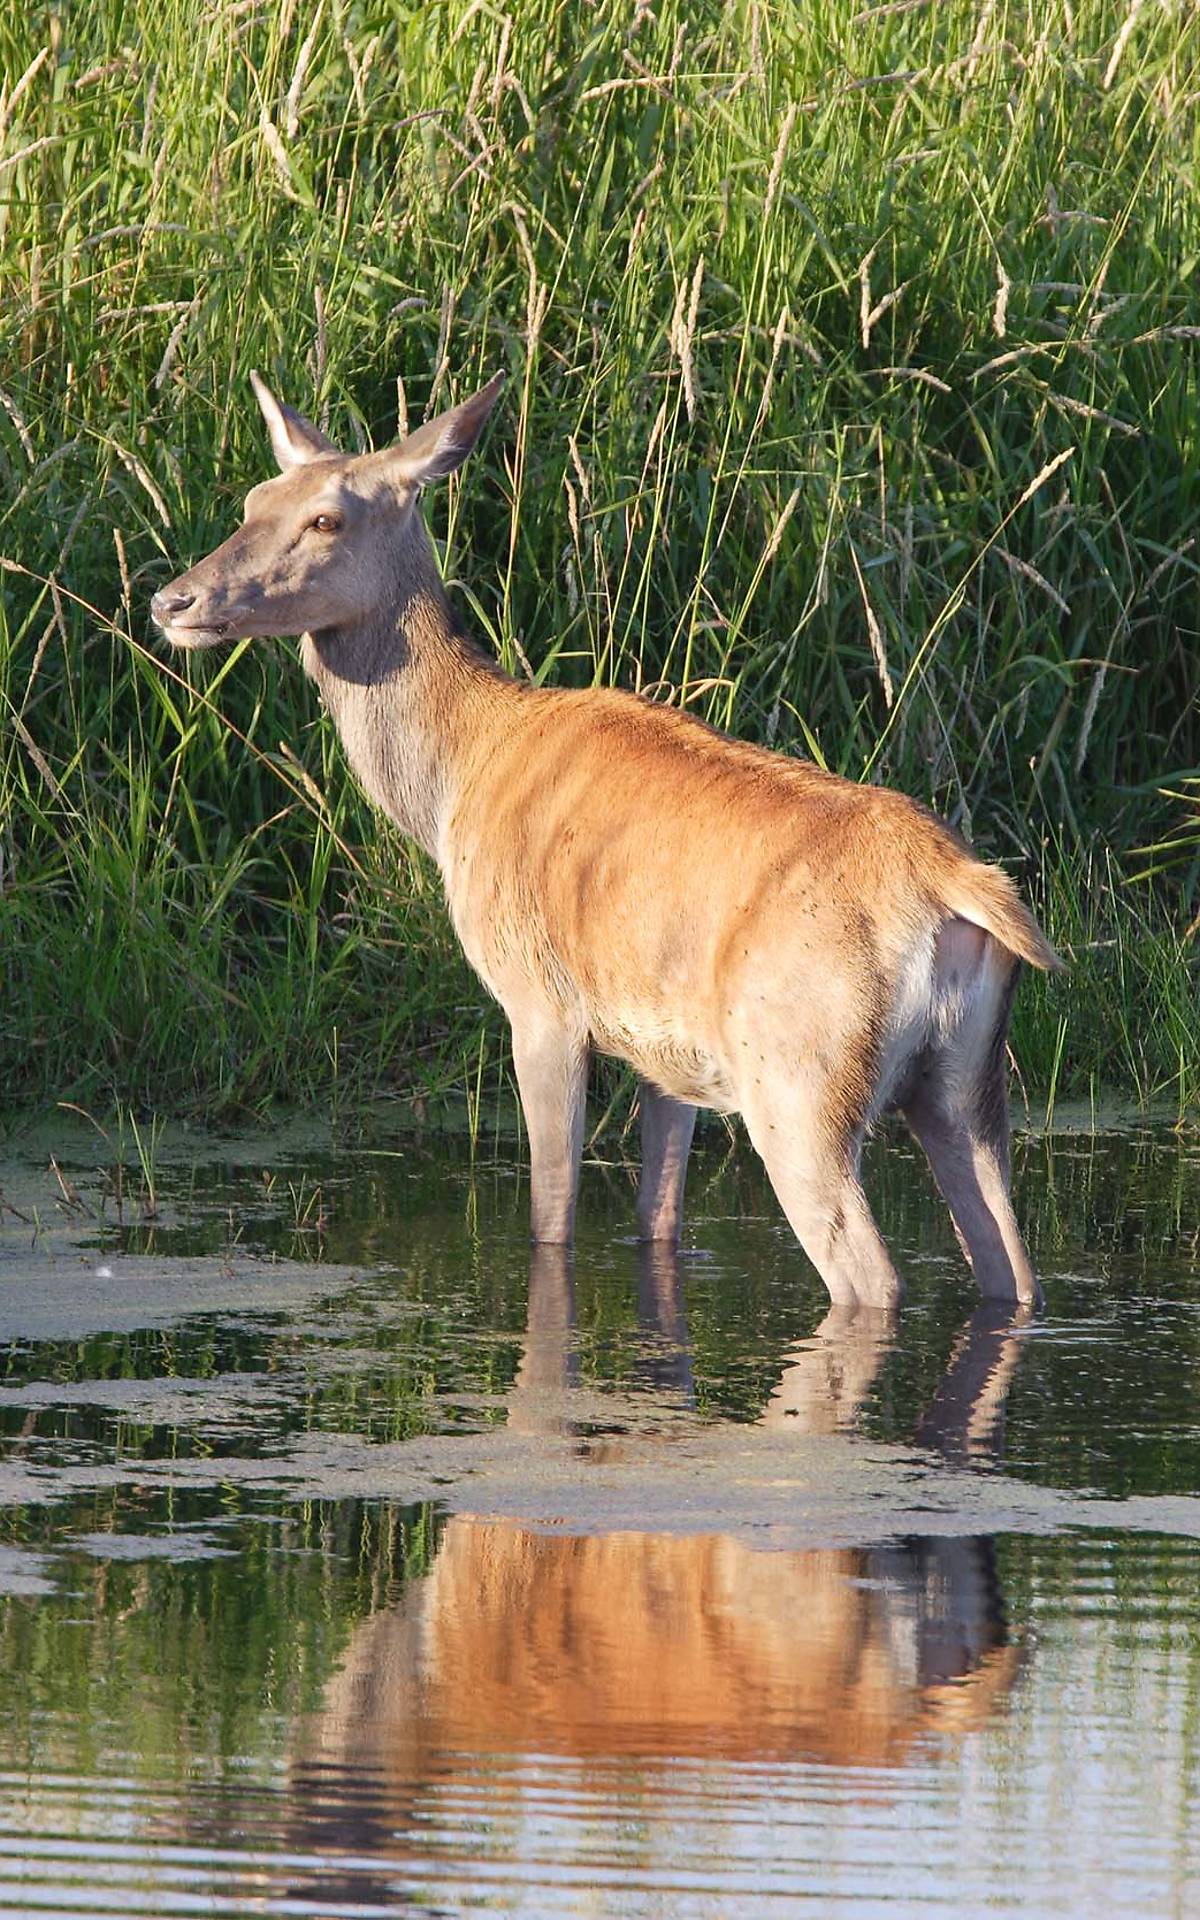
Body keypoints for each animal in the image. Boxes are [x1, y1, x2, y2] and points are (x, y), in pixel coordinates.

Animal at [151, 366, 1059, 1313]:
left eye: (327, 517)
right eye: (253, 500)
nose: (172, 600)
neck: (457, 778)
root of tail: (955, 887)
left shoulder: (538, 1001)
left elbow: (553, 1221)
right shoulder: (672, 1060)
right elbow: (657, 1223)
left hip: (801, 1081)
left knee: (872, 1274)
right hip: (966, 1085)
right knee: (1012, 1266)